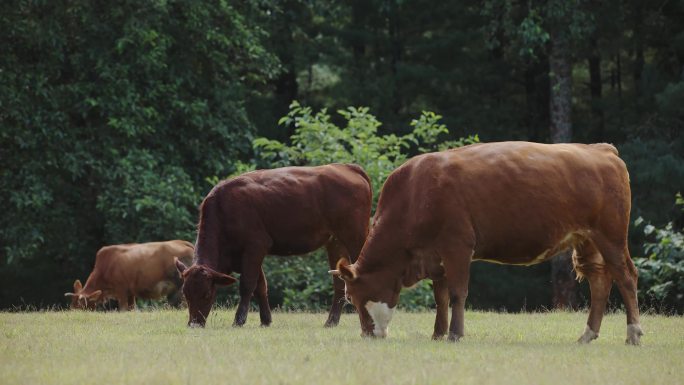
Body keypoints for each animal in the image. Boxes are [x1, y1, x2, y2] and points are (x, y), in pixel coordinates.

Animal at [174, 162, 372, 328]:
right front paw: (265, 320)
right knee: (339, 282)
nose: (194, 324)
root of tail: (346, 167)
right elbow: (261, 286)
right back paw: (331, 322)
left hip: (356, 235)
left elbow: (247, 285)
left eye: (207, 294)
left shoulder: (255, 247)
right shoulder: (247, 255)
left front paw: (239, 320)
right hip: (335, 242)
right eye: (185, 293)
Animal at [328, 142, 644, 344]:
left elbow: (457, 293)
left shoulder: (457, 245)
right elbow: (441, 297)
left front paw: (455, 334)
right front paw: (438, 333)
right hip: (587, 239)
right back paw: (587, 334)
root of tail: (599, 149)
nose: (367, 334)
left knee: (626, 276)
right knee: (600, 281)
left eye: (352, 298)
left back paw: (633, 333)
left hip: (611, 236)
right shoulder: (435, 258)